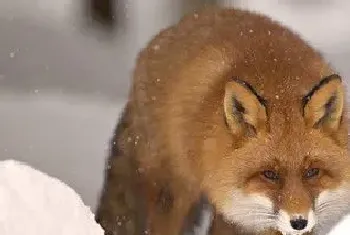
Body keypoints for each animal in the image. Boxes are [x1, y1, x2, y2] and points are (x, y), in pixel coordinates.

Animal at [95, 5, 350, 235]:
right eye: (269, 174)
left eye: (313, 172)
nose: (299, 222)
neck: (281, 84)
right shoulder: (235, 215)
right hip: (175, 192)